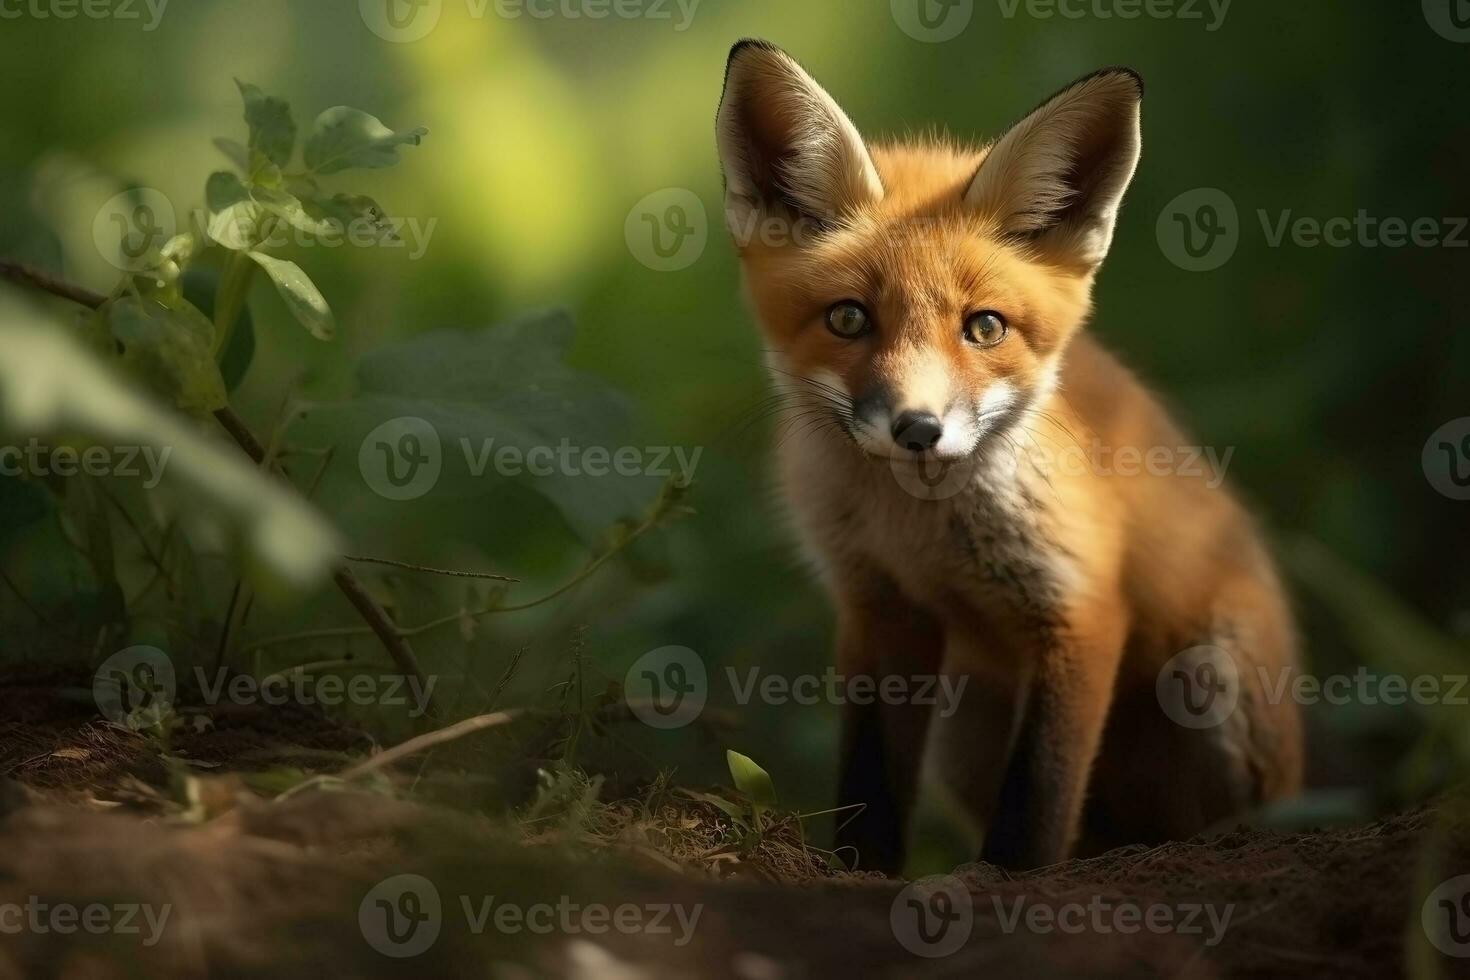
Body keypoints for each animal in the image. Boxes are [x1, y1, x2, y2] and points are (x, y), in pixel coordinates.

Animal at [717, 40, 1305, 875]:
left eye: (985, 327)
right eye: (848, 319)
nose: (918, 428)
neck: (921, 534)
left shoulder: (1080, 606)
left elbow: (1038, 798)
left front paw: (1006, 880)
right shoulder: (878, 606)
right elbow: (869, 779)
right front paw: (861, 872)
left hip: (1212, 681)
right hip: (964, 734)